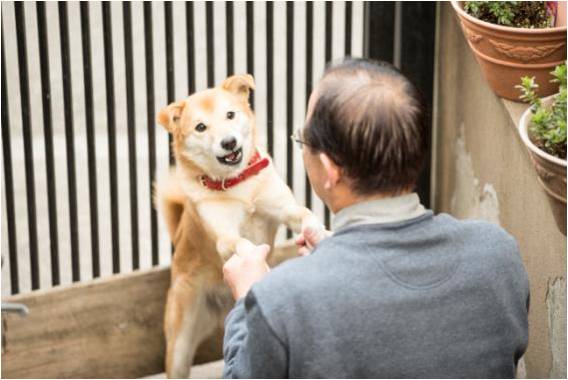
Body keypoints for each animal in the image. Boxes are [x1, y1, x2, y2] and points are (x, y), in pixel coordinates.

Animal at [155, 73, 324, 378]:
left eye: (230, 115)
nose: (229, 142)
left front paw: (321, 232)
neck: (239, 185)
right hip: (181, 342)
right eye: (201, 127)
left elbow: (304, 214)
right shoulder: (225, 236)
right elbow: (242, 244)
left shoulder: (284, 209)